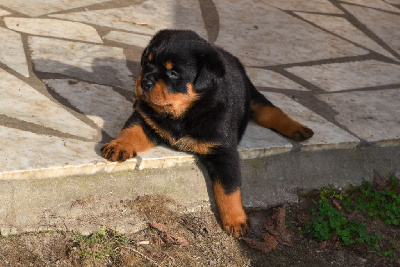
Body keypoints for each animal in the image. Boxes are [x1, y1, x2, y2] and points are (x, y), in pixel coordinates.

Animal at [101, 29, 314, 239]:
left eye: (173, 73)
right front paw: (118, 145)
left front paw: (235, 220)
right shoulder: (146, 118)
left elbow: (228, 189)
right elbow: (131, 131)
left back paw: (298, 129)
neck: (183, 113)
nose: (144, 81)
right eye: (147, 62)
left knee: (269, 112)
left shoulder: (223, 152)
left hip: (252, 96)